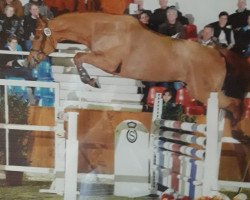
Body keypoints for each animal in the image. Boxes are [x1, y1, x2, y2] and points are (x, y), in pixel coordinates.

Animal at [28, 12, 249, 123]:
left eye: (38, 36)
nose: (29, 62)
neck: (100, 27)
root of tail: (218, 53)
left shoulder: (108, 62)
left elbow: (78, 57)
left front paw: (90, 81)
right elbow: (78, 57)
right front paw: (90, 80)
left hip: (202, 91)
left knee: (234, 104)